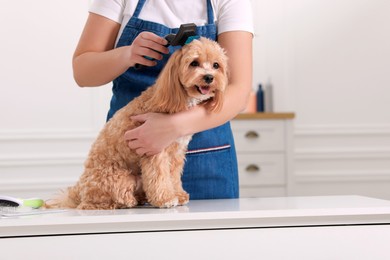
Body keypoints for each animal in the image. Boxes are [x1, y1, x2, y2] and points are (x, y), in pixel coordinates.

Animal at [45, 37, 229, 209]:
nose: (209, 77)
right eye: (194, 63)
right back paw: (126, 201)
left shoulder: (176, 152)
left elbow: (173, 176)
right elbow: (159, 176)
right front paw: (166, 199)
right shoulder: (155, 151)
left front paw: (178, 194)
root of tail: (79, 188)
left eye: (216, 65)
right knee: (99, 201)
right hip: (117, 178)